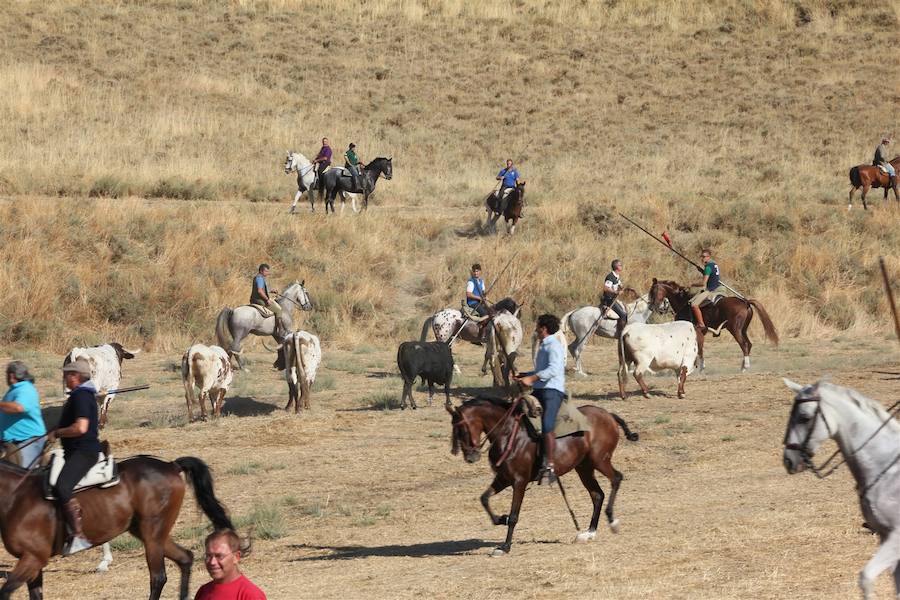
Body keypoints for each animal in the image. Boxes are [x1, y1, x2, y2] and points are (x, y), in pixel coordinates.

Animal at [0, 458, 236, 596]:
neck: (16, 496)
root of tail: (170, 465)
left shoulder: (32, 558)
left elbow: (5, 591)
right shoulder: (33, 562)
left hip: (152, 535)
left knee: (158, 577)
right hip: (149, 533)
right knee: (185, 558)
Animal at [446, 396, 636, 556]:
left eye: (462, 428)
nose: (470, 457)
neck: (510, 435)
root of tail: (608, 415)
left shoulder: (519, 482)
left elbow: (514, 516)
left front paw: (505, 546)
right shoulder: (503, 479)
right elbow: (484, 499)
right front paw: (501, 518)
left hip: (600, 460)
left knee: (616, 478)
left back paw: (612, 521)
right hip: (584, 467)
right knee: (597, 494)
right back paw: (589, 533)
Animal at [648, 278, 780, 372]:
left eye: (653, 291)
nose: (652, 307)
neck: (683, 303)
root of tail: (745, 302)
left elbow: (697, 349)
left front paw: (697, 367)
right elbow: (700, 348)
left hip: (735, 329)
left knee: (743, 344)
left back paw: (745, 366)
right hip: (743, 330)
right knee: (749, 344)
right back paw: (743, 366)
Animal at [780, 380, 900, 600]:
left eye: (804, 418)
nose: (788, 460)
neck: (887, 468)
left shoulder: (896, 537)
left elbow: (866, 577)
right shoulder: (885, 536)